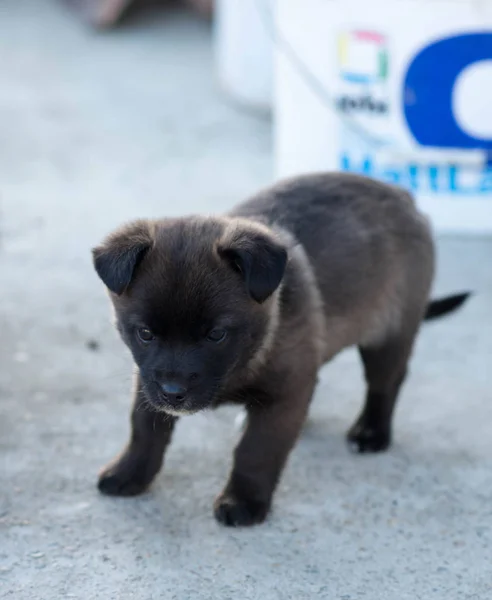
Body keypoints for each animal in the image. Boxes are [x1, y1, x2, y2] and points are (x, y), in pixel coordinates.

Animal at [92, 172, 468, 524]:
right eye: (145, 333)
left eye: (216, 335)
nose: (174, 393)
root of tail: (401, 194)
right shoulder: (147, 379)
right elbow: (143, 430)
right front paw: (130, 473)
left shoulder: (282, 394)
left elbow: (256, 451)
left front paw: (242, 502)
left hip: (389, 333)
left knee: (385, 384)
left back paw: (371, 432)